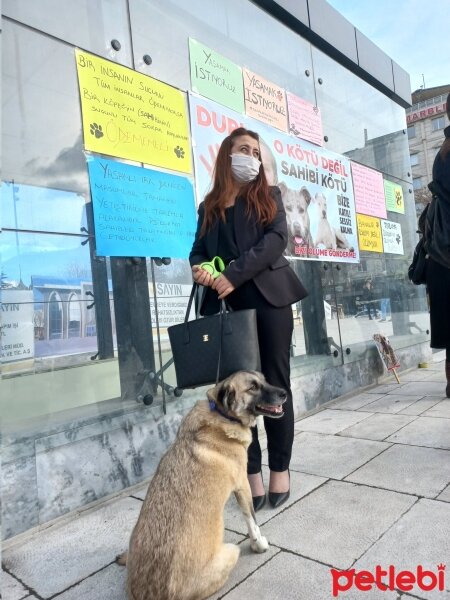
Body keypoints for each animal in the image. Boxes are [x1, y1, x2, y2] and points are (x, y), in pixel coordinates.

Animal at [116, 370, 284, 600]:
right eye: (252, 388)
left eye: (265, 380)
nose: (284, 393)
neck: (222, 413)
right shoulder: (243, 485)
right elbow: (252, 522)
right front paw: (259, 545)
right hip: (231, 550)